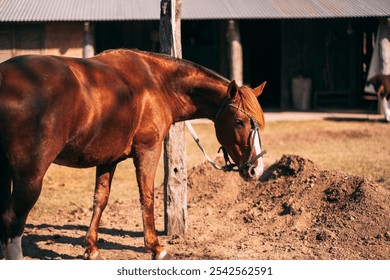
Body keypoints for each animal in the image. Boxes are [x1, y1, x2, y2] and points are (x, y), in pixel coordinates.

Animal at [0, 48, 266, 260]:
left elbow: (100, 199)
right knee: (12, 219)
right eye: (240, 121)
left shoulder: (107, 159)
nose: (256, 168)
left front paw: (91, 247)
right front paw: (155, 246)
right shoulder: (148, 151)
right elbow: (147, 197)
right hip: (30, 177)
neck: (157, 83)